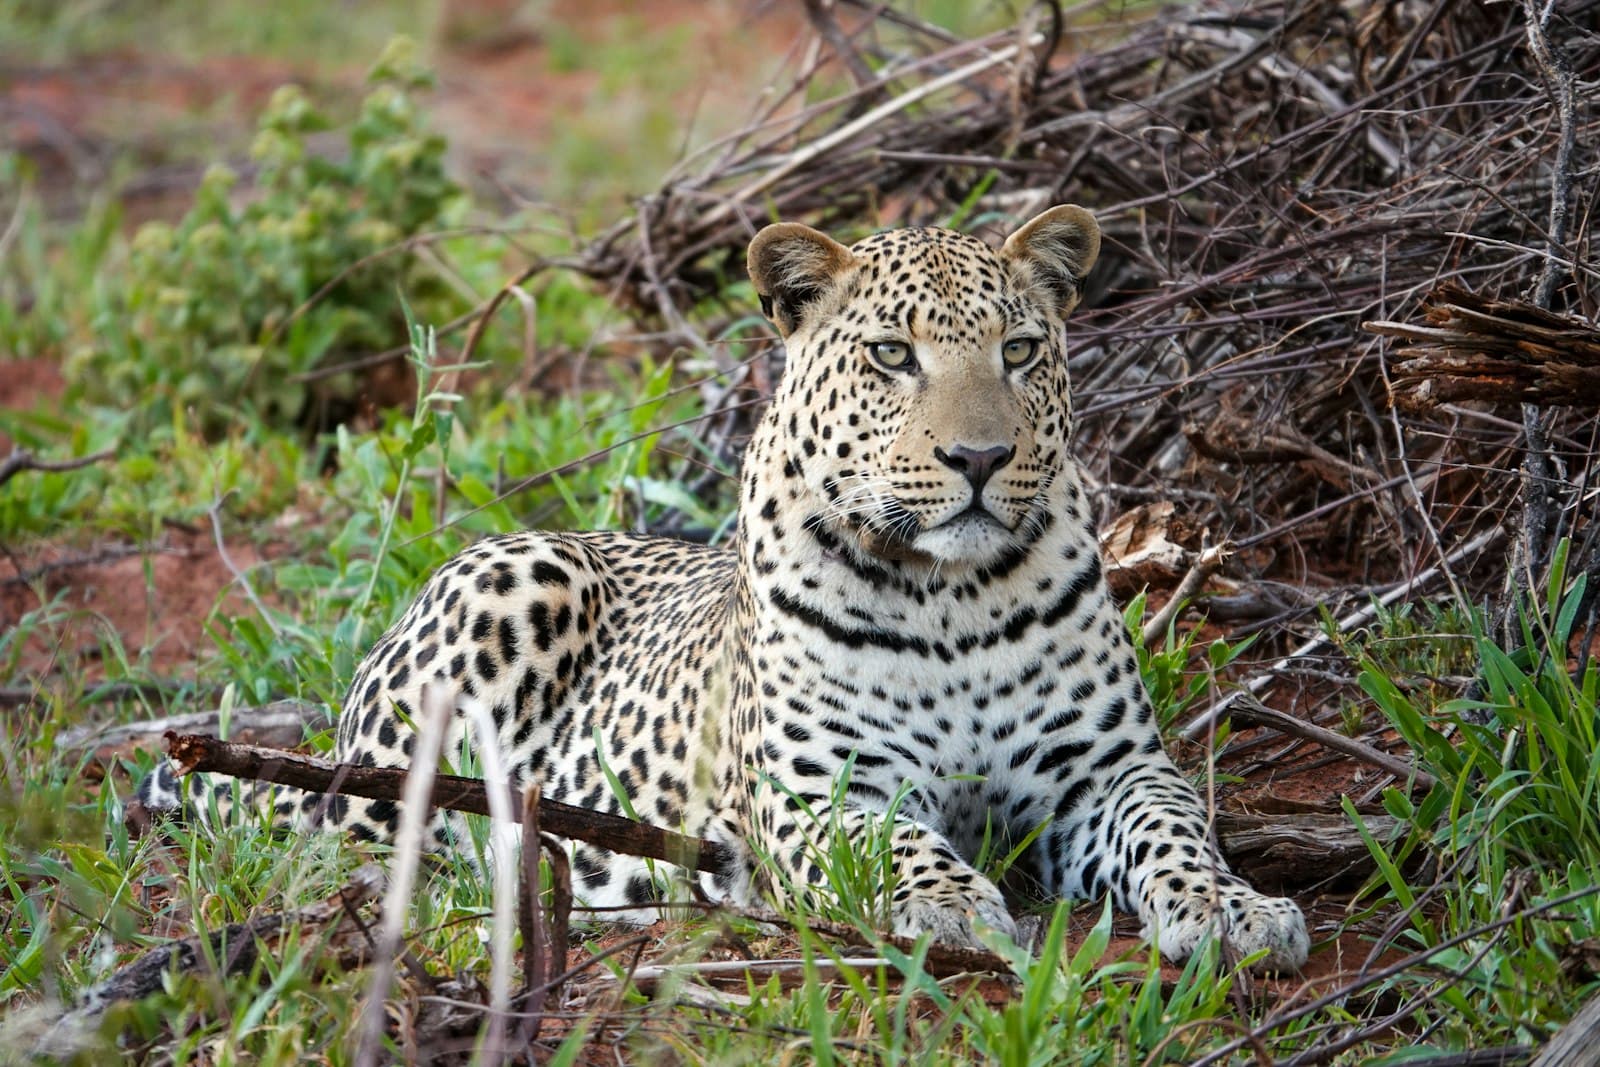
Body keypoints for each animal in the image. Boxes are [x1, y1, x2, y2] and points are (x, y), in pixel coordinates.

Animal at [140, 206, 1309, 969]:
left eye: (1020, 350)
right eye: (892, 356)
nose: (979, 457)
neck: (954, 597)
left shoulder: (1106, 772)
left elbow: (1175, 828)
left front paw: (1234, 909)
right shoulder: (821, 792)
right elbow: (898, 842)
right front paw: (950, 909)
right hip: (504, 599)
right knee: (345, 835)